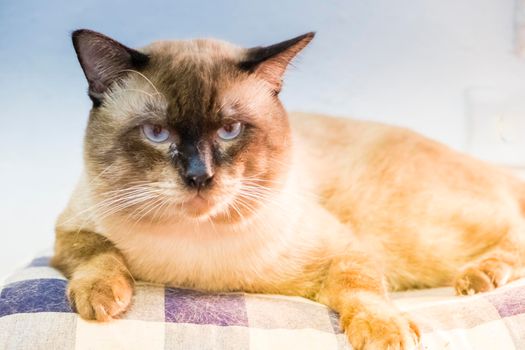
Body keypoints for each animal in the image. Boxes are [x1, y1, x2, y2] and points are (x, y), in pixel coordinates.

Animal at [51, 30, 524, 350]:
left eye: (230, 130)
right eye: (156, 133)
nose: (200, 176)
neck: (194, 253)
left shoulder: (346, 251)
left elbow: (360, 289)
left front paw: (385, 333)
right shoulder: (69, 233)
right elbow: (98, 253)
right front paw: (99, 299)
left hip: (421, 234)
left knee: (511, 229)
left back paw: (479, 277)